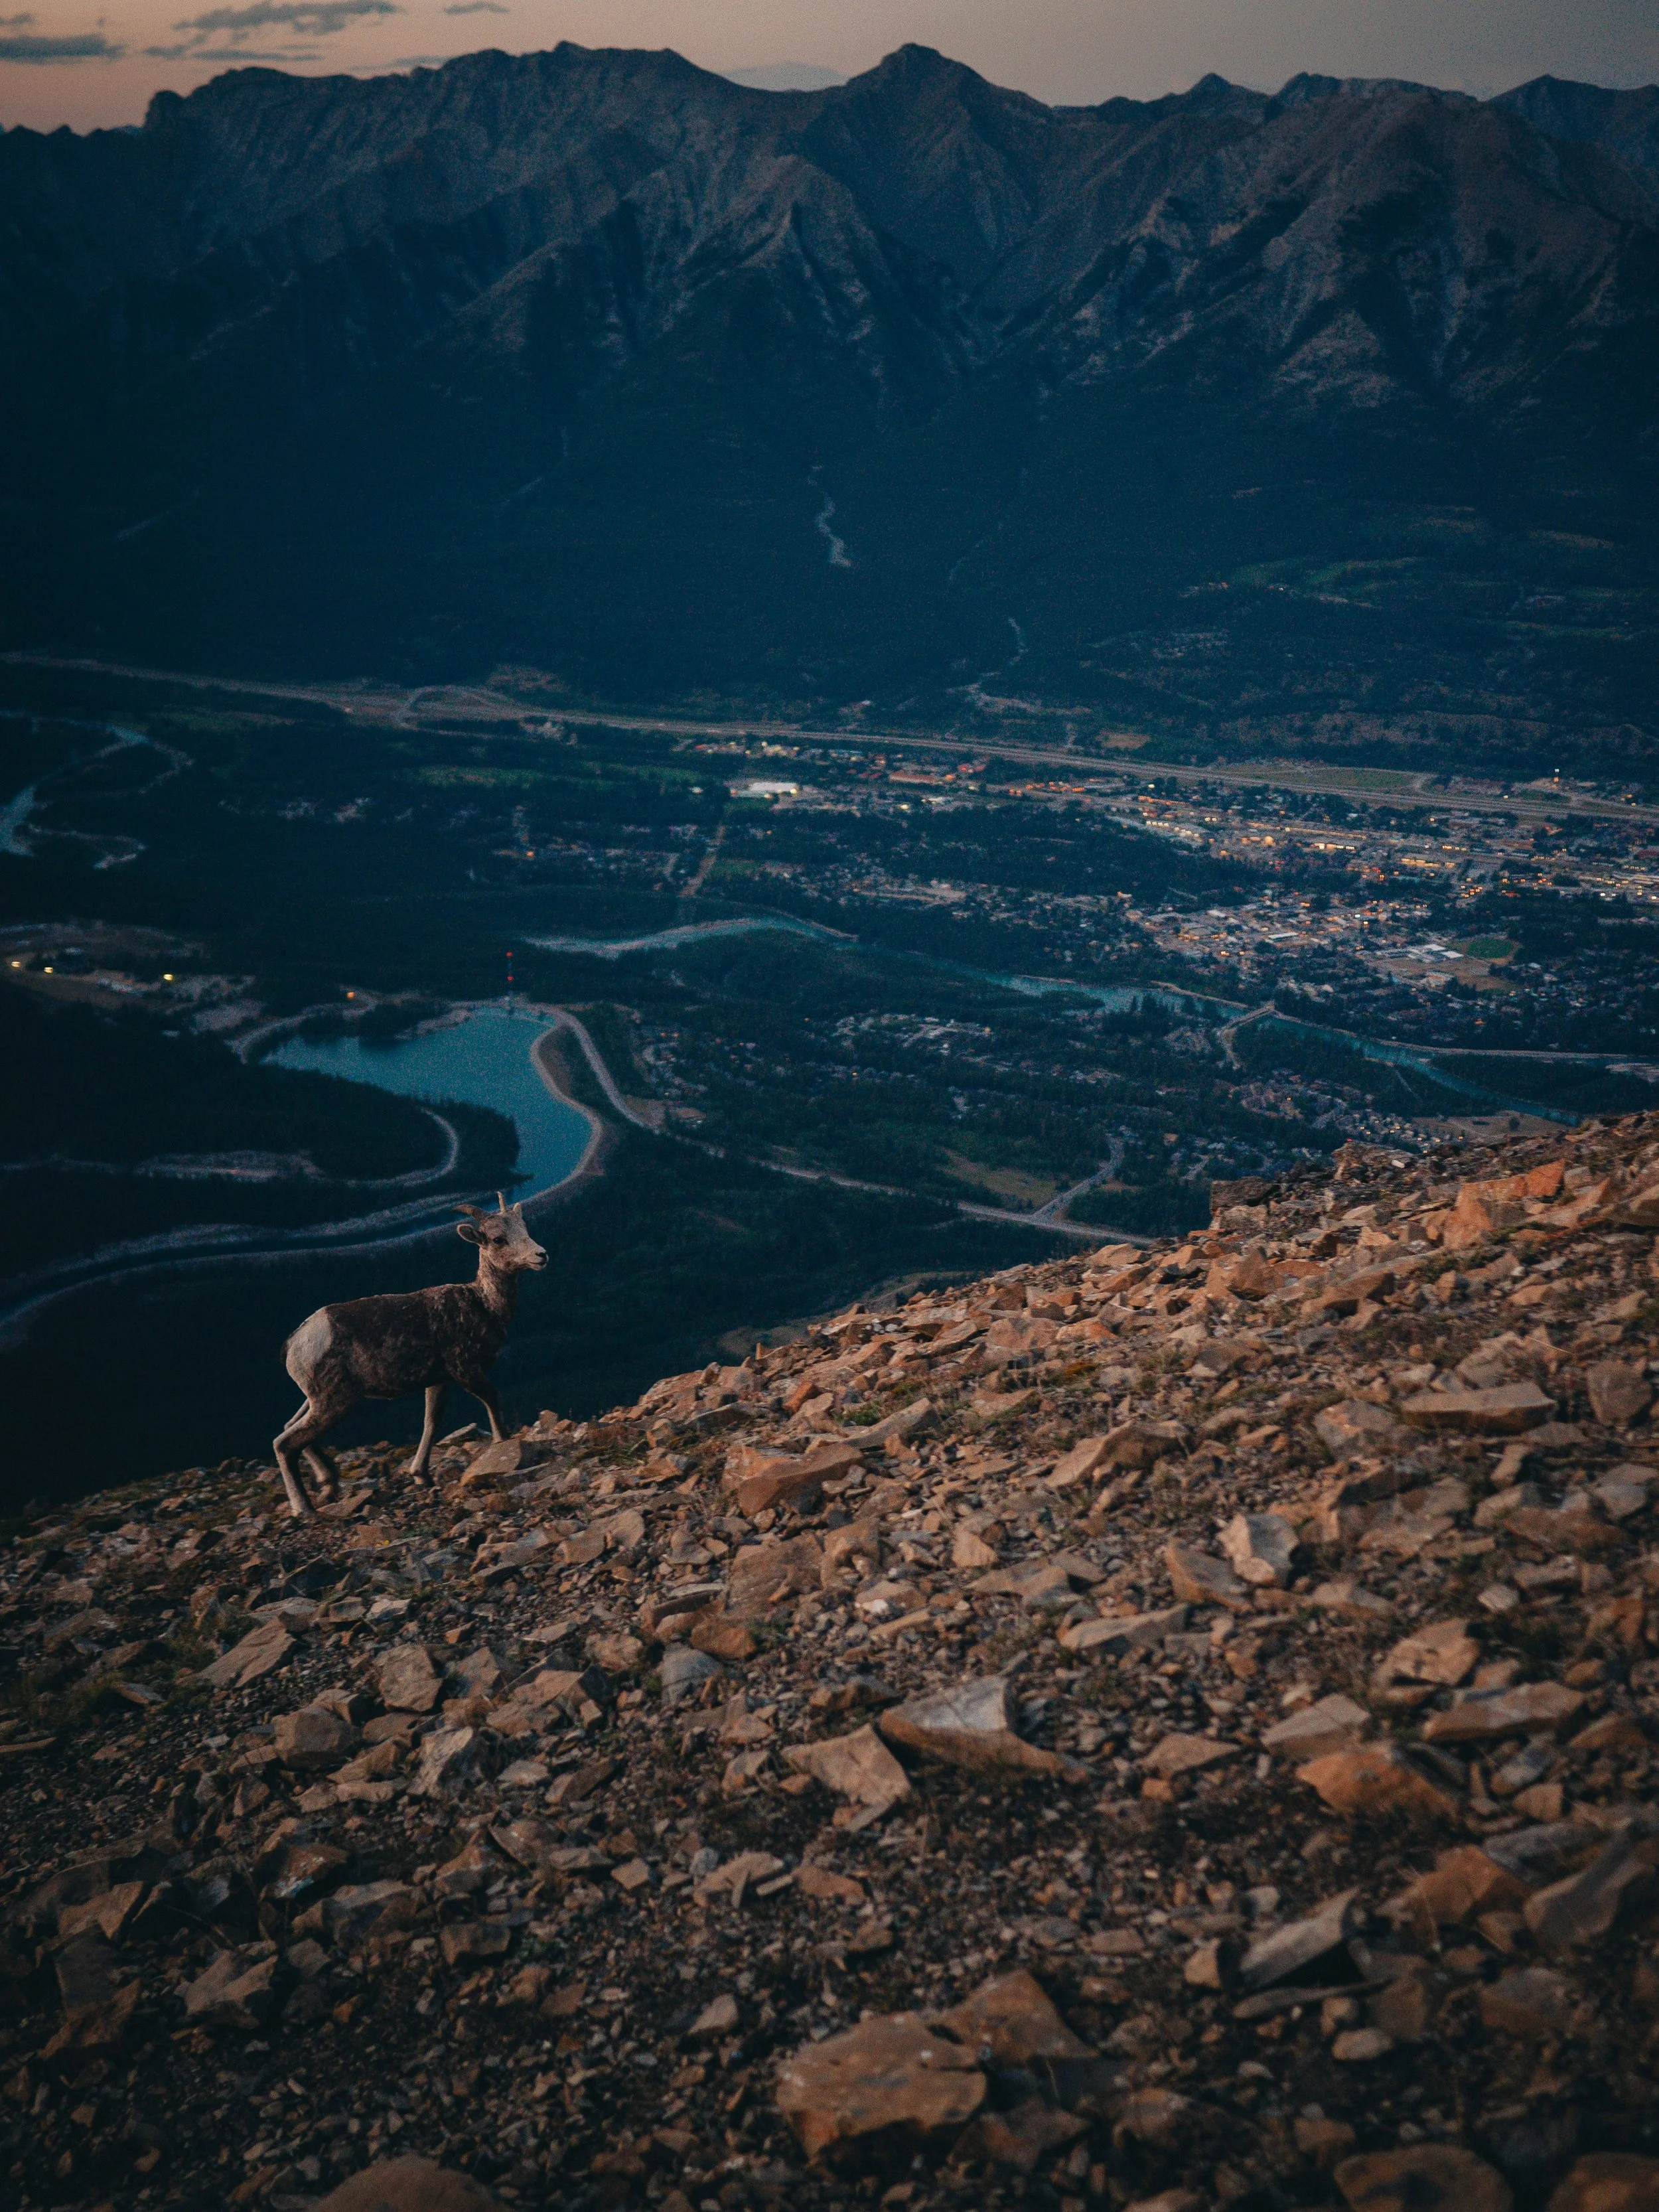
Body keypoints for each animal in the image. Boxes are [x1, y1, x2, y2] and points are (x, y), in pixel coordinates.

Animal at [271, 1194, 547, 1518]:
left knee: (290, 1429)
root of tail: (294, 1342)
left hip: (314, 1400)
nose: (541, 1255)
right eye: (498, 1239)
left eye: (524, 1228)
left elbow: (431, 1422)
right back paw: (304, 1509)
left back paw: (329, 1484)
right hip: (333, 1402)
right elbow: (492, 1401)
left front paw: (421, 1475)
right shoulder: (466, 1371)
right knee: (285, 1443)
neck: (483, 1304)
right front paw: (502, 1446)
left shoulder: (438, 1381)